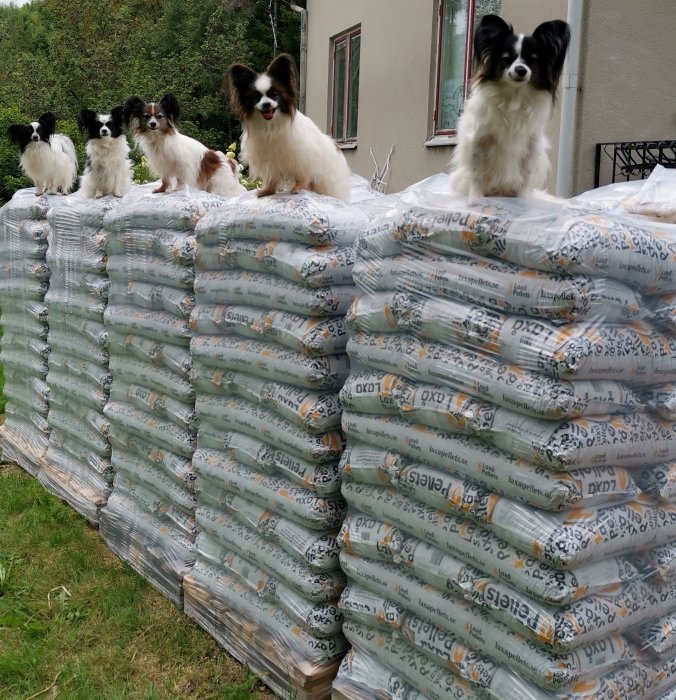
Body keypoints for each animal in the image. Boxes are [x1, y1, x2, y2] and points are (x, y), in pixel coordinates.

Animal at [228, 51, 354, 200]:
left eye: (274, 95)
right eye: (256, 98)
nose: (266, 104)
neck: (271, 126)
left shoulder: (301, 155)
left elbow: (303, 173)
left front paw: (299, 186)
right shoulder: (270, 159)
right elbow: (271, 177)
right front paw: (267, 190)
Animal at [448, 14, 572, 200]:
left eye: (532, 60)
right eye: (507, 58)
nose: (521, 70)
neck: (514, 95)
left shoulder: (530, 145)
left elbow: (524, 177)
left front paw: (522, 201)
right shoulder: (479, 140)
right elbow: (478, 175)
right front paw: (476, 198)